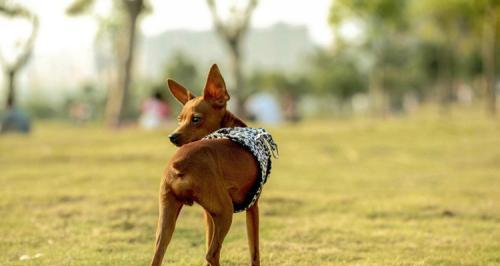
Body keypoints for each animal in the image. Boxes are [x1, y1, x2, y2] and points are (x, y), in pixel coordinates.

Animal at [150, 64, 262, 266]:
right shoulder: (252, 206)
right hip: (226, 212)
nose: (172, 137)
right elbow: (254, 251)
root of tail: (178, 163)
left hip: (167, 216)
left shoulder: (208, 214)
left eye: (195, 119)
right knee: (212, 254)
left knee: (159, 253)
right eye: (180, 119)